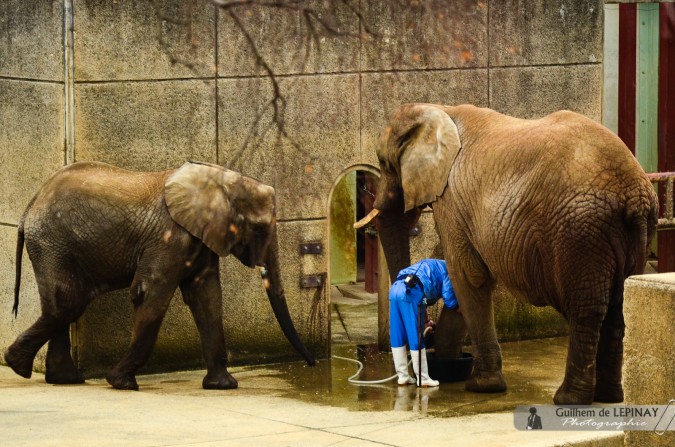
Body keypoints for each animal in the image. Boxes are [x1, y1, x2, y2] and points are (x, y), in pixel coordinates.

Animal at [3, 162, 316, 392]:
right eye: (260, 229)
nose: (312, 364)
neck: (218, 179)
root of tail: (28, 208)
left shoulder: (199, 239)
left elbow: (207, 298)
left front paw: (223, 386)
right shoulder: (170, 239)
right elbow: (150, 293)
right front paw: (121, 383)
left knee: (65, 305)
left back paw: (62, 379)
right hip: (51, 243)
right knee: (69, 303)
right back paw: (19, 365)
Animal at [356, 104, 656, 406]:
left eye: (384, 163)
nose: (427, 331)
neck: (441, 110)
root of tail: (633, 193)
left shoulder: (452, 201)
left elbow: (467, 276)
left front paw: (479, 385)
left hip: (580, 232)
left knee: (587, 311)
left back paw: (568, 399)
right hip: (628, 236)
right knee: (618, 307)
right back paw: (609, 397)